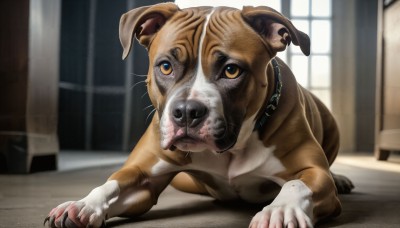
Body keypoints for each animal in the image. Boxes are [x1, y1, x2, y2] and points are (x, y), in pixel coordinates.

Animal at [45, 2, 354, 227]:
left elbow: (295, 183)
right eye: (166, 66)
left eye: (231, 70)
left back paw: (338, 179)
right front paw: (82, 205)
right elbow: (111, 185)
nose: (186, 112)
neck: (233, 147)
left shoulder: (313, 173)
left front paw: (281, 210)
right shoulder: (143, 179)